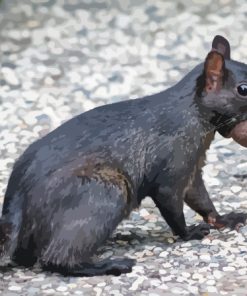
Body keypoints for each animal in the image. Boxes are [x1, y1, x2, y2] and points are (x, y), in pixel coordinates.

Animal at [0, 35, 247, 276]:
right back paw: (107, 266)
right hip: (104, 192)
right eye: (243, 89)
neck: (192, 112)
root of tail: (17, 201)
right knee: (56, 258)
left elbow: (200, 198)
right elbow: (172, 203)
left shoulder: (193, 167)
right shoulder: (173, 162)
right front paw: (189, 232)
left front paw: (223, 219)